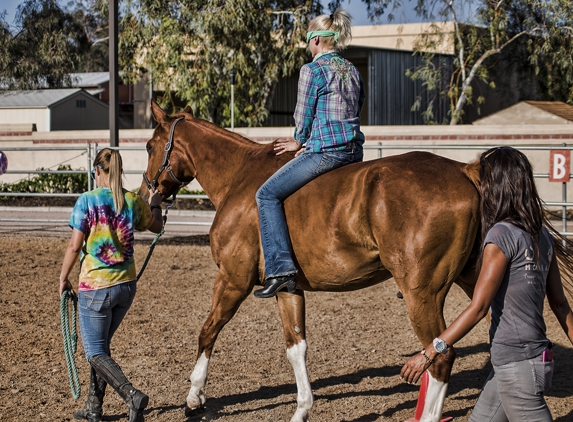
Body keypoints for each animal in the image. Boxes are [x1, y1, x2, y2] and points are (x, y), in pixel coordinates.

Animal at [141, 102, 480, 422]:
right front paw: (302, 409)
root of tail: (463, 170)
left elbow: (208, 330)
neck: (239, 177)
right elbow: (296, 347)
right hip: (472, 280)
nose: (147, 195)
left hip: (422, 294)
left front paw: (194, 397)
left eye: (148, 146)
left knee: (441, 357)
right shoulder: (286, 288)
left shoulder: (232, 280)